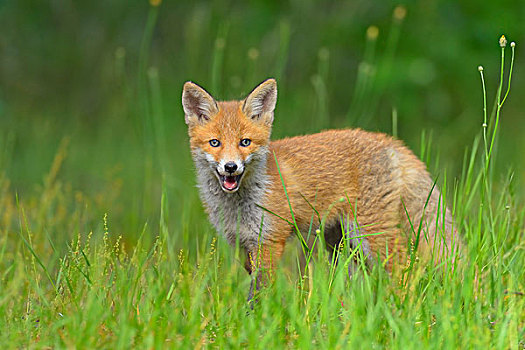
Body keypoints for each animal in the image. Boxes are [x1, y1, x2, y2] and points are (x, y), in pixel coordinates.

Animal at [183, 77, 458, 298]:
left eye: (245, 142)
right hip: (342, 243)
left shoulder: (270, 241)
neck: (238, 206)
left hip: (370, 234)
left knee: (404, 270)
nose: (231, 167)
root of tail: (389, 141)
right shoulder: (241, 245)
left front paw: (259, 321)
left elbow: (260, 293)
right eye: (215, 143)